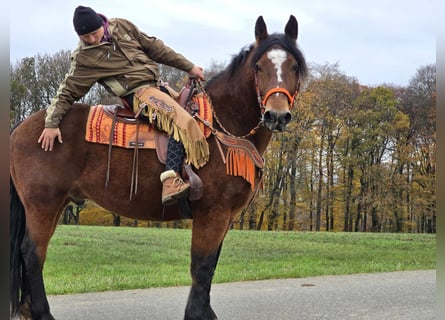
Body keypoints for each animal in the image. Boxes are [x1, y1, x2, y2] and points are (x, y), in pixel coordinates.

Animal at [9, 15, 306, 320]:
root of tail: (24, 126)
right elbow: (201, 266)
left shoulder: (225, 217)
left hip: (55, 205)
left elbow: (211, 266)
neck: (223, 124)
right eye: (259, 67)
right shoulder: (213, 213)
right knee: (32, 254)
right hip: (43, 205)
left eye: (294, 66)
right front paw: (196, 314)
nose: (276, 115)